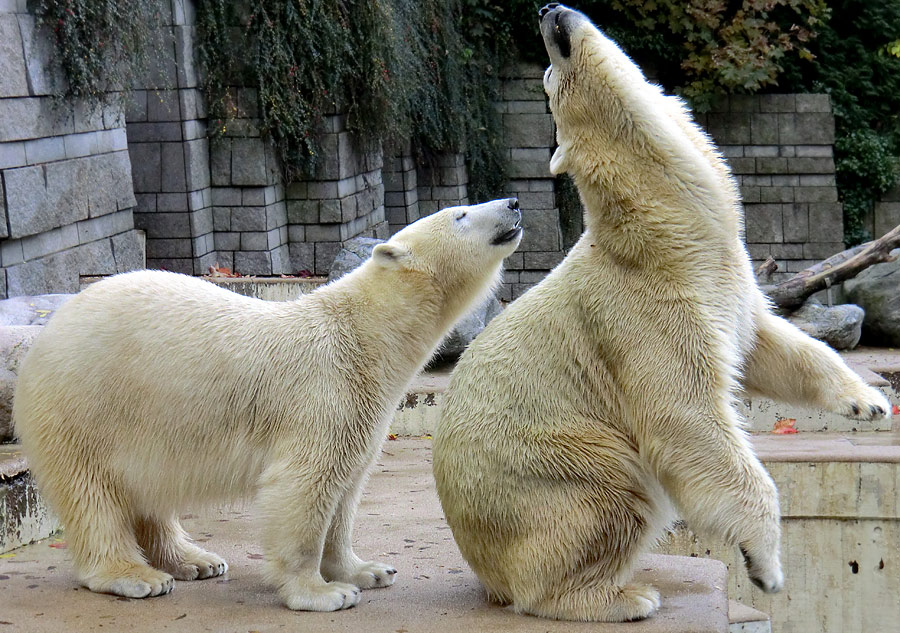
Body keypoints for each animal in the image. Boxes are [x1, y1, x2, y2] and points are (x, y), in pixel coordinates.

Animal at [12, 196, 520, 608]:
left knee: (148, 491)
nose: (513, 202)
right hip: (84, 404)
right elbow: (304, 485)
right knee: (91, 492)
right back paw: (137, 576)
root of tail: (48, 330)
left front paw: (368, 570)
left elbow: (347, 489)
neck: (366, 337)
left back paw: (195, 560)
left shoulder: (365, 406)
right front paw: (322, 592)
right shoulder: (323, 391)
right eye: (461, 214)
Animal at [432, 4, 888, 624]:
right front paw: (765, 565)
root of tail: (477, 557)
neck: (667, 230)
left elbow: (769, 346)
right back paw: (622, 597)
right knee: (605, 499)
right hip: (547, 462)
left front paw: (867, 401)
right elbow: (685, 415)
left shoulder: (725, 279)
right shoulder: (644, 306)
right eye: (548, 78)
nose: (547, 10)